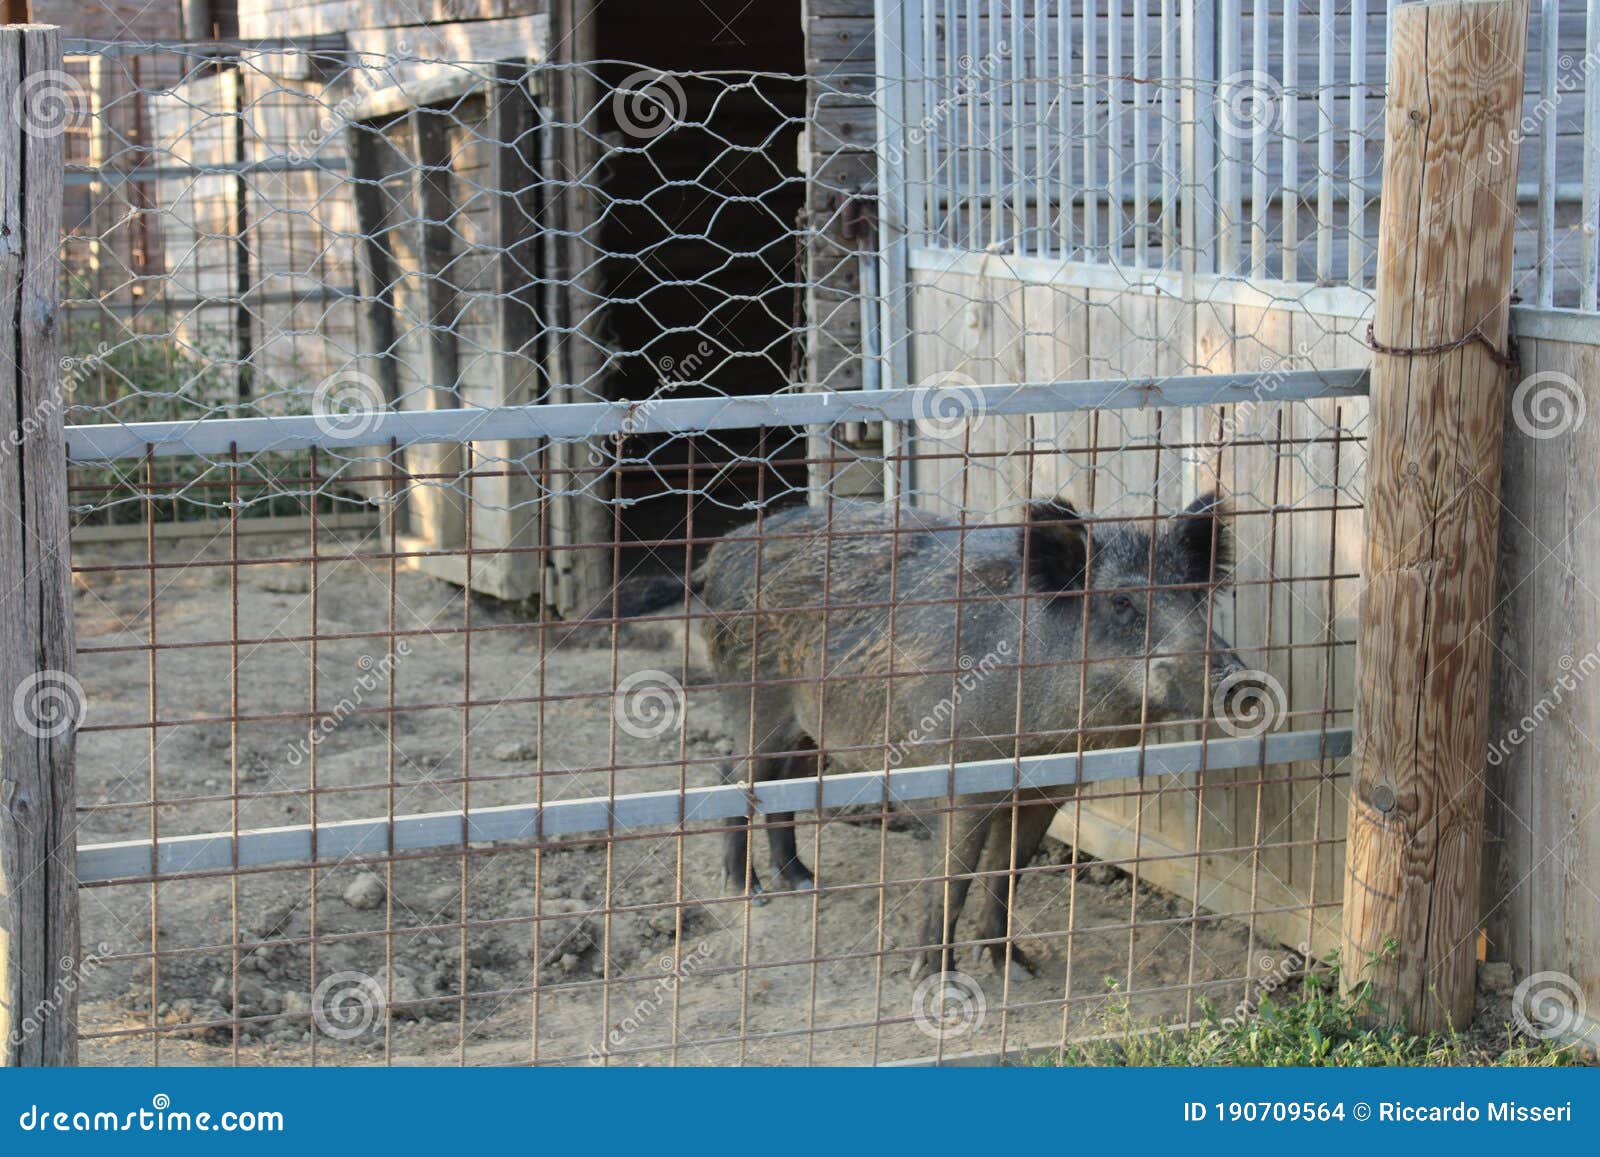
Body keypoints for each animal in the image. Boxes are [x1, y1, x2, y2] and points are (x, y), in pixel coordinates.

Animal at [619, 493, 1253, 982]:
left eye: (1195, 596)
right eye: (1121, 602)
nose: (1239, 680)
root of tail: (720, 553)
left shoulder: (1048, 793)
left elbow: (1007, 874)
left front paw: (1017, 968)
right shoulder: (961, 777)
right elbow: (955, 875)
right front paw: (934, 978)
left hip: (812, 728)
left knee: (787, 786)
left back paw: (804, 882)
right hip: (756, 700)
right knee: (732, 773)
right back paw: (749, 893)